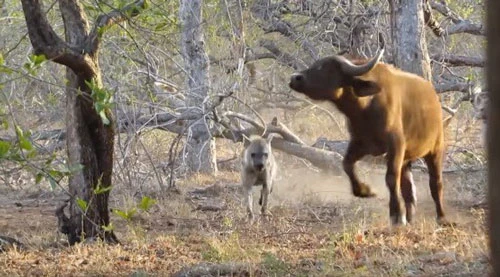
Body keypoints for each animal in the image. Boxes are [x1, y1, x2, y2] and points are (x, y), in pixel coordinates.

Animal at [290, 34, 450, 225]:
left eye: (323, 67)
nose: (294, 78)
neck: (364, 110)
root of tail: (434, 96)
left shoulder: (395, 145)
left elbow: (391, 178)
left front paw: (396, 214)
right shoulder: (360, 143)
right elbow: (346, 164)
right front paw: (365, 191)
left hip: (436, 149)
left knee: (436, 183)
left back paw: (441, 217)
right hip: (407, 158)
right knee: (409, 188)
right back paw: (410, 218)